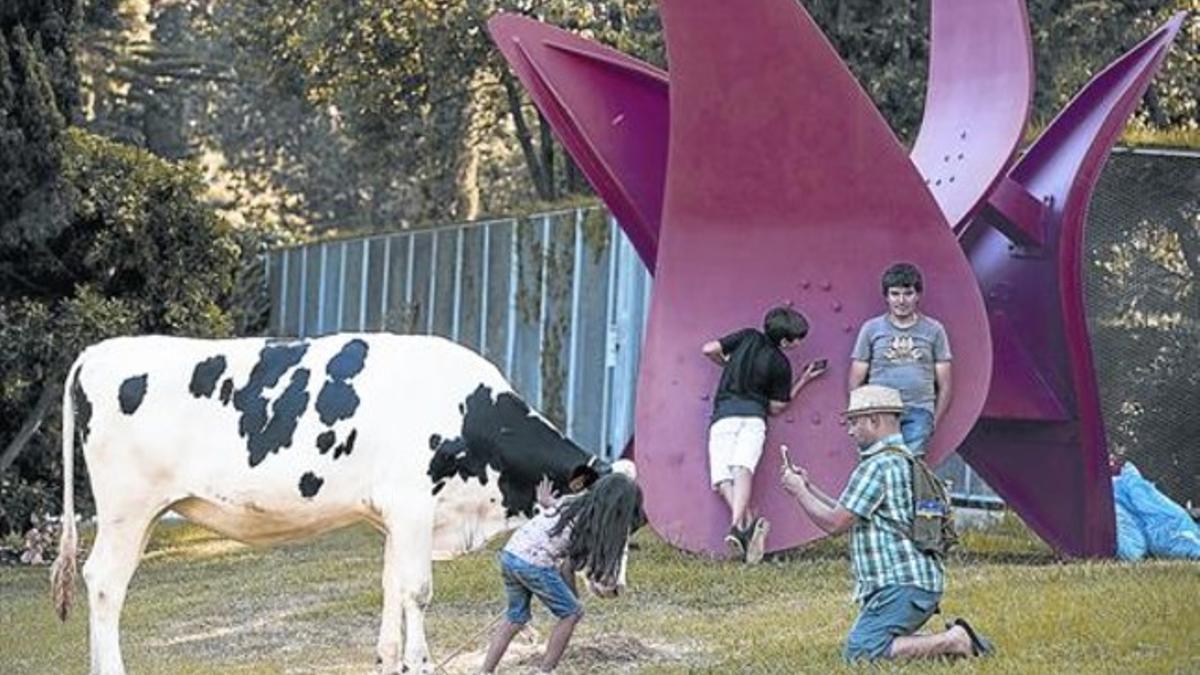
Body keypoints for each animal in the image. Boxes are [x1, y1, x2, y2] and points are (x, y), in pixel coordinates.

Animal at [49, 333, 609, 672]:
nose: (611, 585)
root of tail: (99, 351)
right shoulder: (412, 506)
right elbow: (418, 591)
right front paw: (420, 662)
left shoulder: (394, 517)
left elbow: (391, 585)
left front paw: (388, 660)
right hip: (126, 509)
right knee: (105, 582)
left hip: (141, 513)